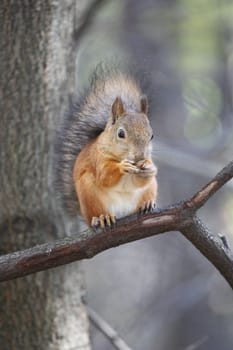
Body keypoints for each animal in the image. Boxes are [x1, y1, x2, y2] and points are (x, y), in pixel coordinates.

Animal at [56, 65, 158, 230]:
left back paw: (146, 204)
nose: (140, 156)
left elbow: (142, 181)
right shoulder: (98, 158)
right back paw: (102, 218)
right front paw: (123, 166)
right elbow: (105, 175)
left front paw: (148, 166)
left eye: (152, 135)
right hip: (89, 193)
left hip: (150, 189)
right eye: (121, 133)